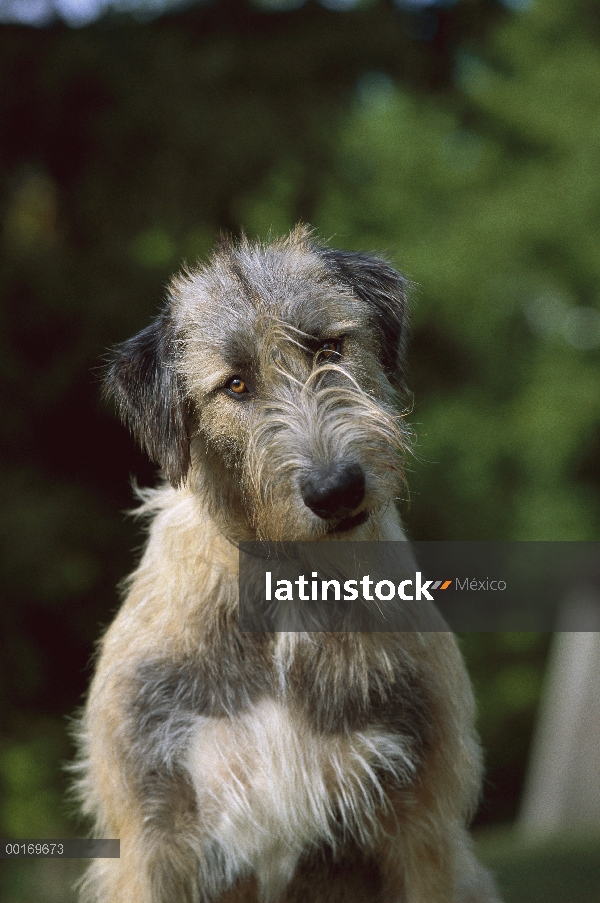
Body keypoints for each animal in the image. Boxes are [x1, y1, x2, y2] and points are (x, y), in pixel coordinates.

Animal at [74, 224, 502, 896]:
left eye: (328, 346)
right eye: (236, 384)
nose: (336, 490)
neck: (288, 587)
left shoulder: (423, 823)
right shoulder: (151, 836)